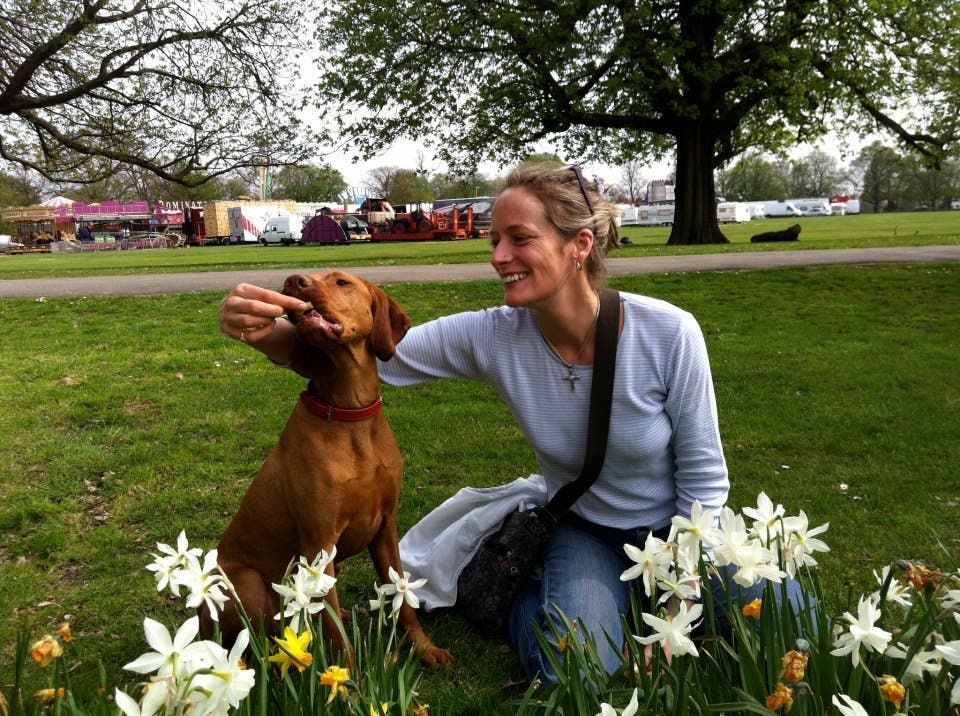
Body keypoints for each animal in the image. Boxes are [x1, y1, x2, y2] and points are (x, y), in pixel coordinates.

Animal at [205, 268, 450, 664]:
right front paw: (351, 678)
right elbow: (336, 634)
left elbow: (402, 597)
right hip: (249, 584)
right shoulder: (318, 541)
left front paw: (425, 648)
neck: (350, 415)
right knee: (265, 634)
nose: (293, 281)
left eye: (342, 282)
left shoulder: (386, 527)